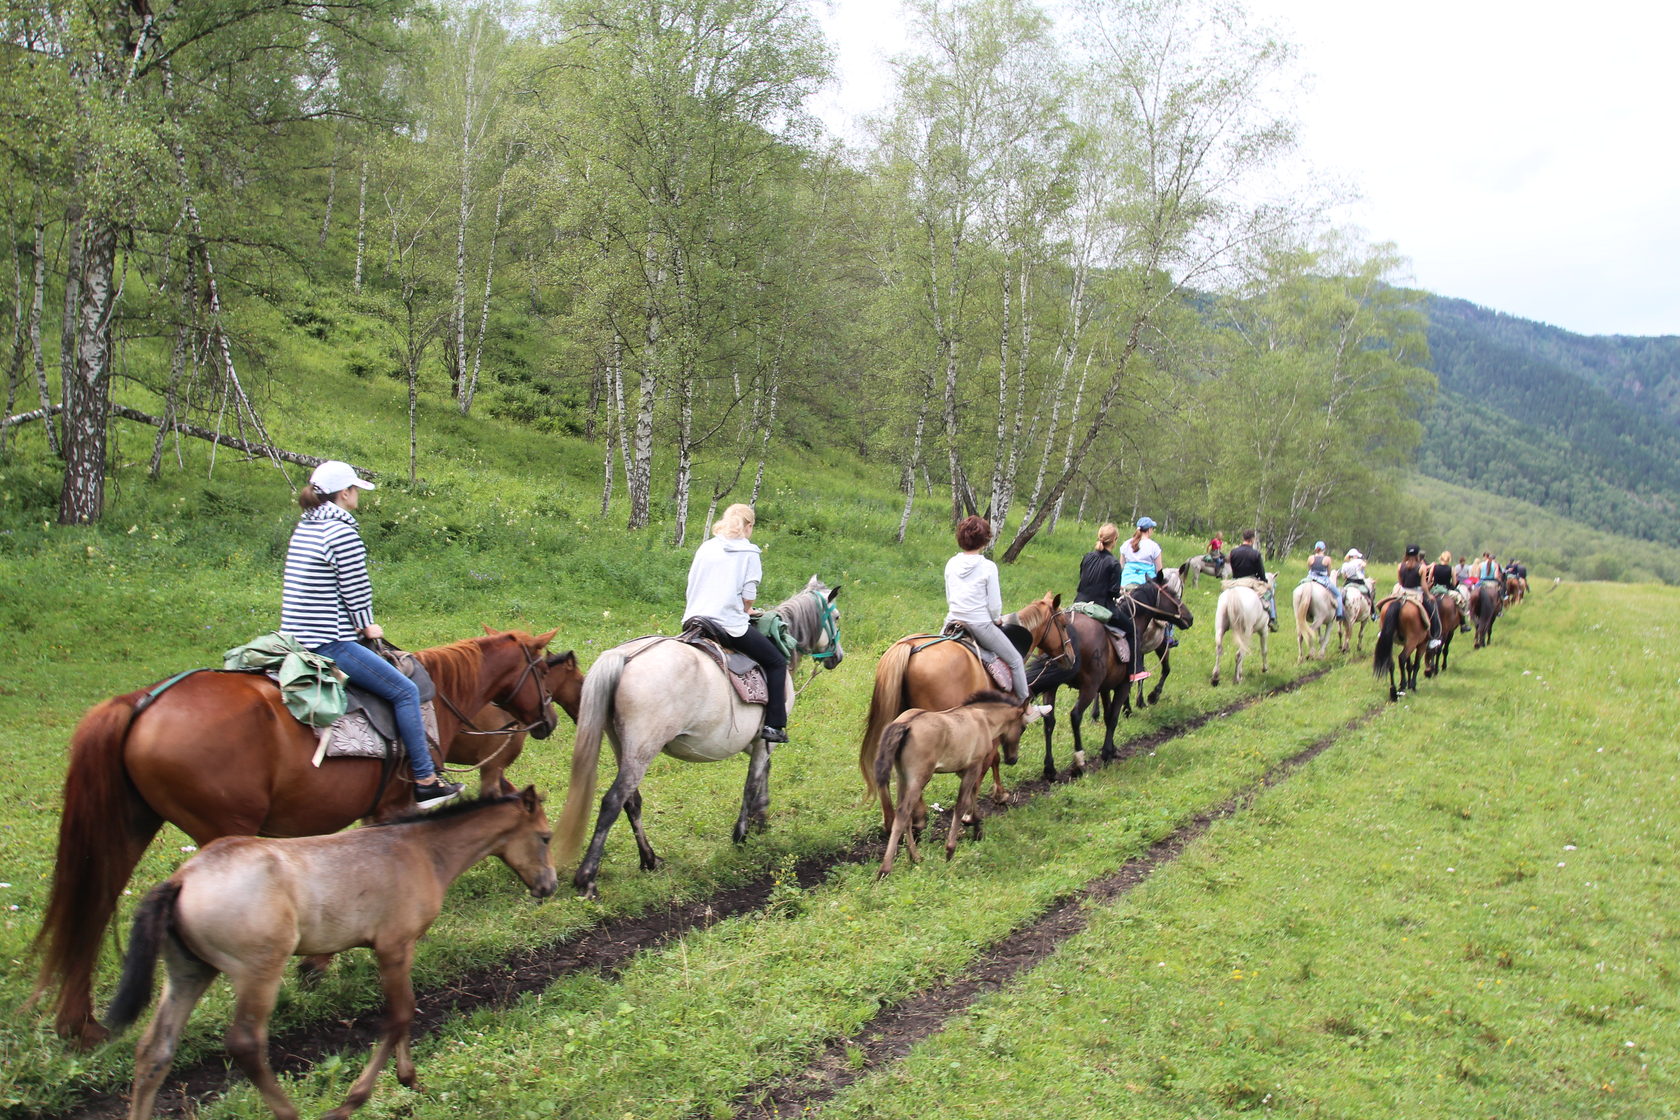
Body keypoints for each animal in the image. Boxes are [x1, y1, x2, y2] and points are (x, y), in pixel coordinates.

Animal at [32, 628, 567, 1047]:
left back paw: (80, 1024)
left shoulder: (376, 814)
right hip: (224, 832)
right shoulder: (395, 808)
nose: (550, 721)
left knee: (94, 903)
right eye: (542, 671)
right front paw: (316, 964)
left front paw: (318, 963)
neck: (436, 695)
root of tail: (142, 703)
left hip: (131, 825)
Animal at [105, 789, 557, 1120]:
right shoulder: (394, 946)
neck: (421, 851)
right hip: (258, 971)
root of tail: (182, 879)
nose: (549, 886)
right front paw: (355, 1099)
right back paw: (291, 1113)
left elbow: (404, 1014)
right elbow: (400, 1014)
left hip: (189, 971)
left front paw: (410, 1079)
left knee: (153, 1051)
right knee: (245, 1043)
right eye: (546, 837)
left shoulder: (396, 949)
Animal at [554, 577, 846, 900]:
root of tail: (624, 658)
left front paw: (761, 821)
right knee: (612, 802)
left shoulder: (756, 741)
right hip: (643, 750)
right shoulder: (764, 738)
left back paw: (649, 859)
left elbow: (763, 775)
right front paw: (742, 834)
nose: (838, 657)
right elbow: (751, 783)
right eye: (836, 617)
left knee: (632, 801)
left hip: (622, 746)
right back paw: (587, 878)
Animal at [860, 594, 1068, 832]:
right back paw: (918, 817)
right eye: (1063, 624)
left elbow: (993, 759)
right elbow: (989, 761)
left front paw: (997, 795)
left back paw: (896, 818)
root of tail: (909, 648)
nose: (1069, 656)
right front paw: (976, 810)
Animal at [873, 688, 1041, 879]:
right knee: (902, 814)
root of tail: (906, 724)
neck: (983, 719)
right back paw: (885, 869)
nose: (1012, 759)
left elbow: (973, 795)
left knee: (905, 815)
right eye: (1022, 728)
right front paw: (950, 850)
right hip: (919, 778)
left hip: (903, 777)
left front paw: (977, 829)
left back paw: (915, 857)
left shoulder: (964, 770)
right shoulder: (974, 766)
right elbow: (962, 804)